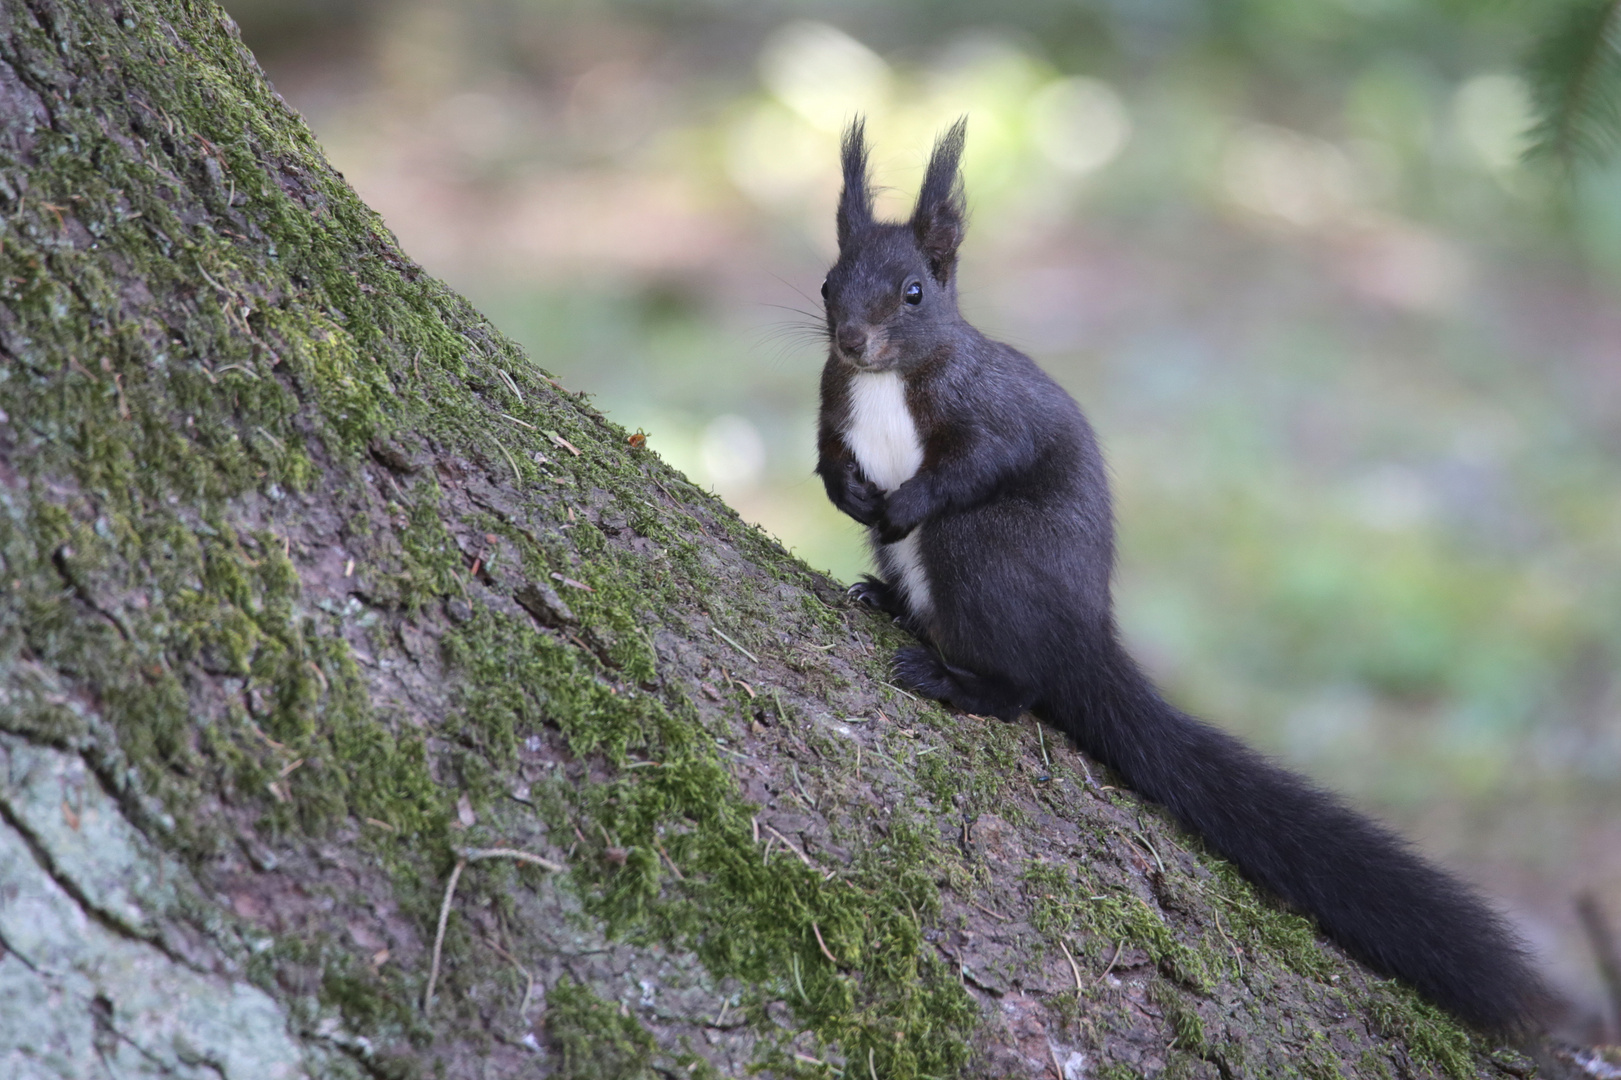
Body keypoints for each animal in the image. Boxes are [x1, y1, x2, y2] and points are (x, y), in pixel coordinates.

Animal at [816, 115, 1549, 1024]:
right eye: (826, 284)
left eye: (915, 292)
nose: (853, 340)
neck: (885, 384)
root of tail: (1084, 637)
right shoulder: (833, 400)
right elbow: (826, 449)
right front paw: (846, 490)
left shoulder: (991, 414)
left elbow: (979, 462)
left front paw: (901, 500)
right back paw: (883, 596)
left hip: (985, 553)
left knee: (1021, 687)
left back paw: (952, 676)